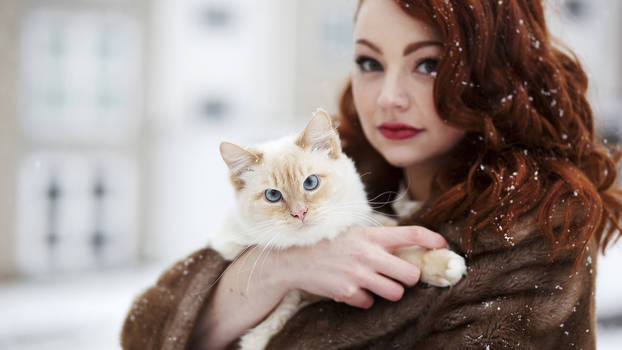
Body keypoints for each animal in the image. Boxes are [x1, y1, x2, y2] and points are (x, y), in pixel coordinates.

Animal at [211, 109, 468, 350]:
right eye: (273, 195)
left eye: (310, 183)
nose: (300, 213)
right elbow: (401, 254)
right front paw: (446, 265)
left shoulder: (363, 221)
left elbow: (398, 236)